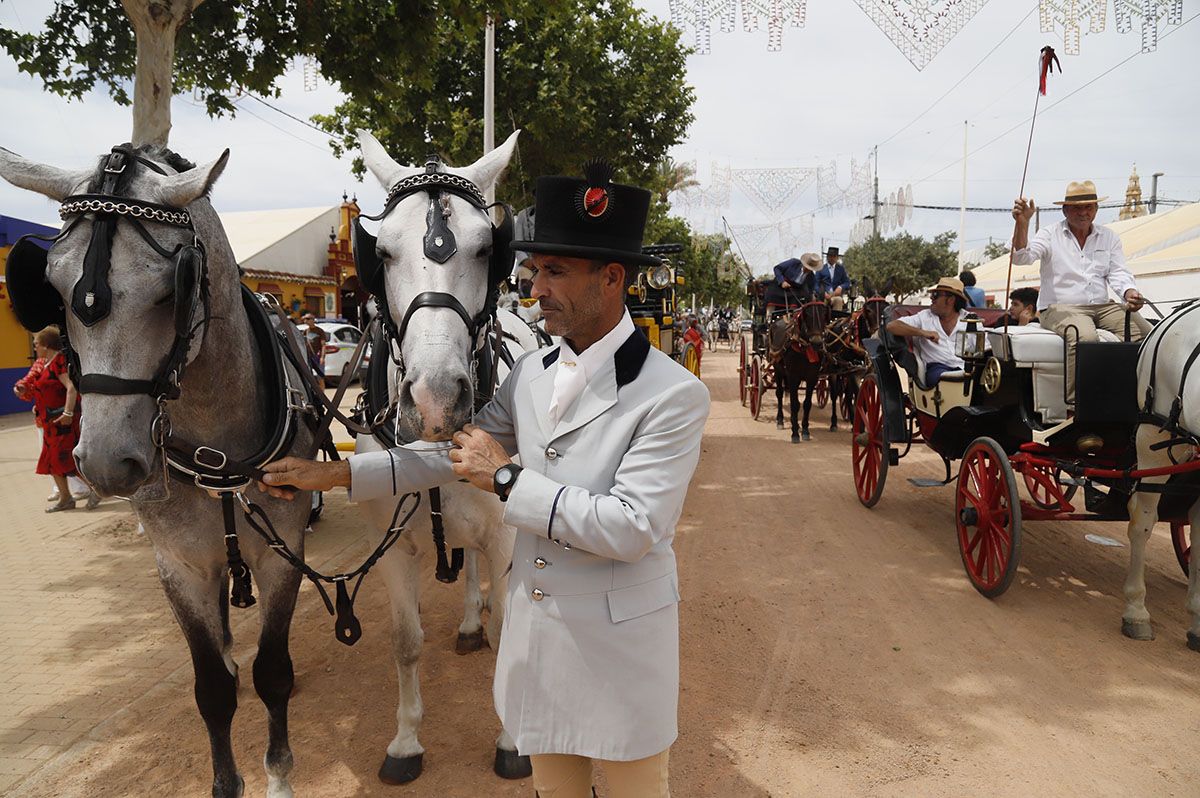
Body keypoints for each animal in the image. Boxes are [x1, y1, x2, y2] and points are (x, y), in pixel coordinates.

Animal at [348, 130, 535, 782]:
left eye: (485, 250)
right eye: (381, 252)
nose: (434, 399)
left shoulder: (507, 536)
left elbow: (510, 636)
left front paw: (511, 740)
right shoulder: (389, 548)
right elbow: (405, 642)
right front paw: (406, 742)